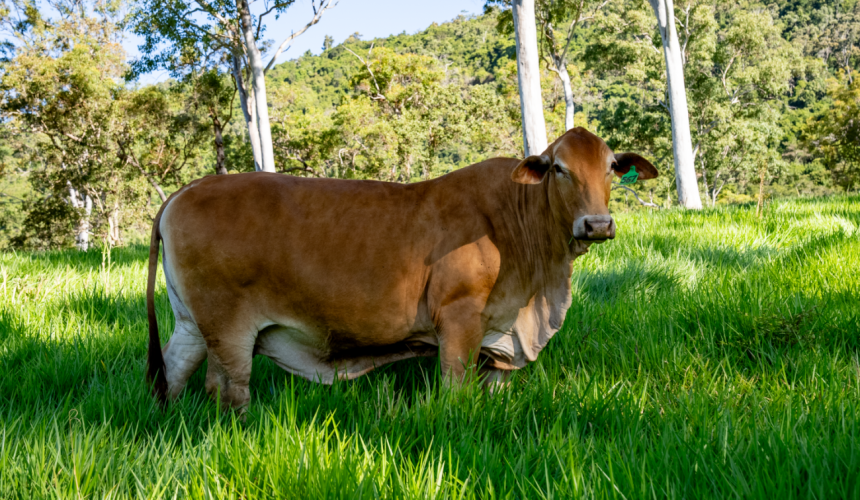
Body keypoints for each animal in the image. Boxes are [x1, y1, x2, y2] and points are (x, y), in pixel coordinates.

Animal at [145, 127, 658, 409]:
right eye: (558, 168)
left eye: (611, 167)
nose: (597, 224)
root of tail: (184, 191)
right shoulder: (459, 319)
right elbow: (455, 388)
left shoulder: (501, 341)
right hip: (227, 327)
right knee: (227, 389)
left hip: (191, 323)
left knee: (173, 372)